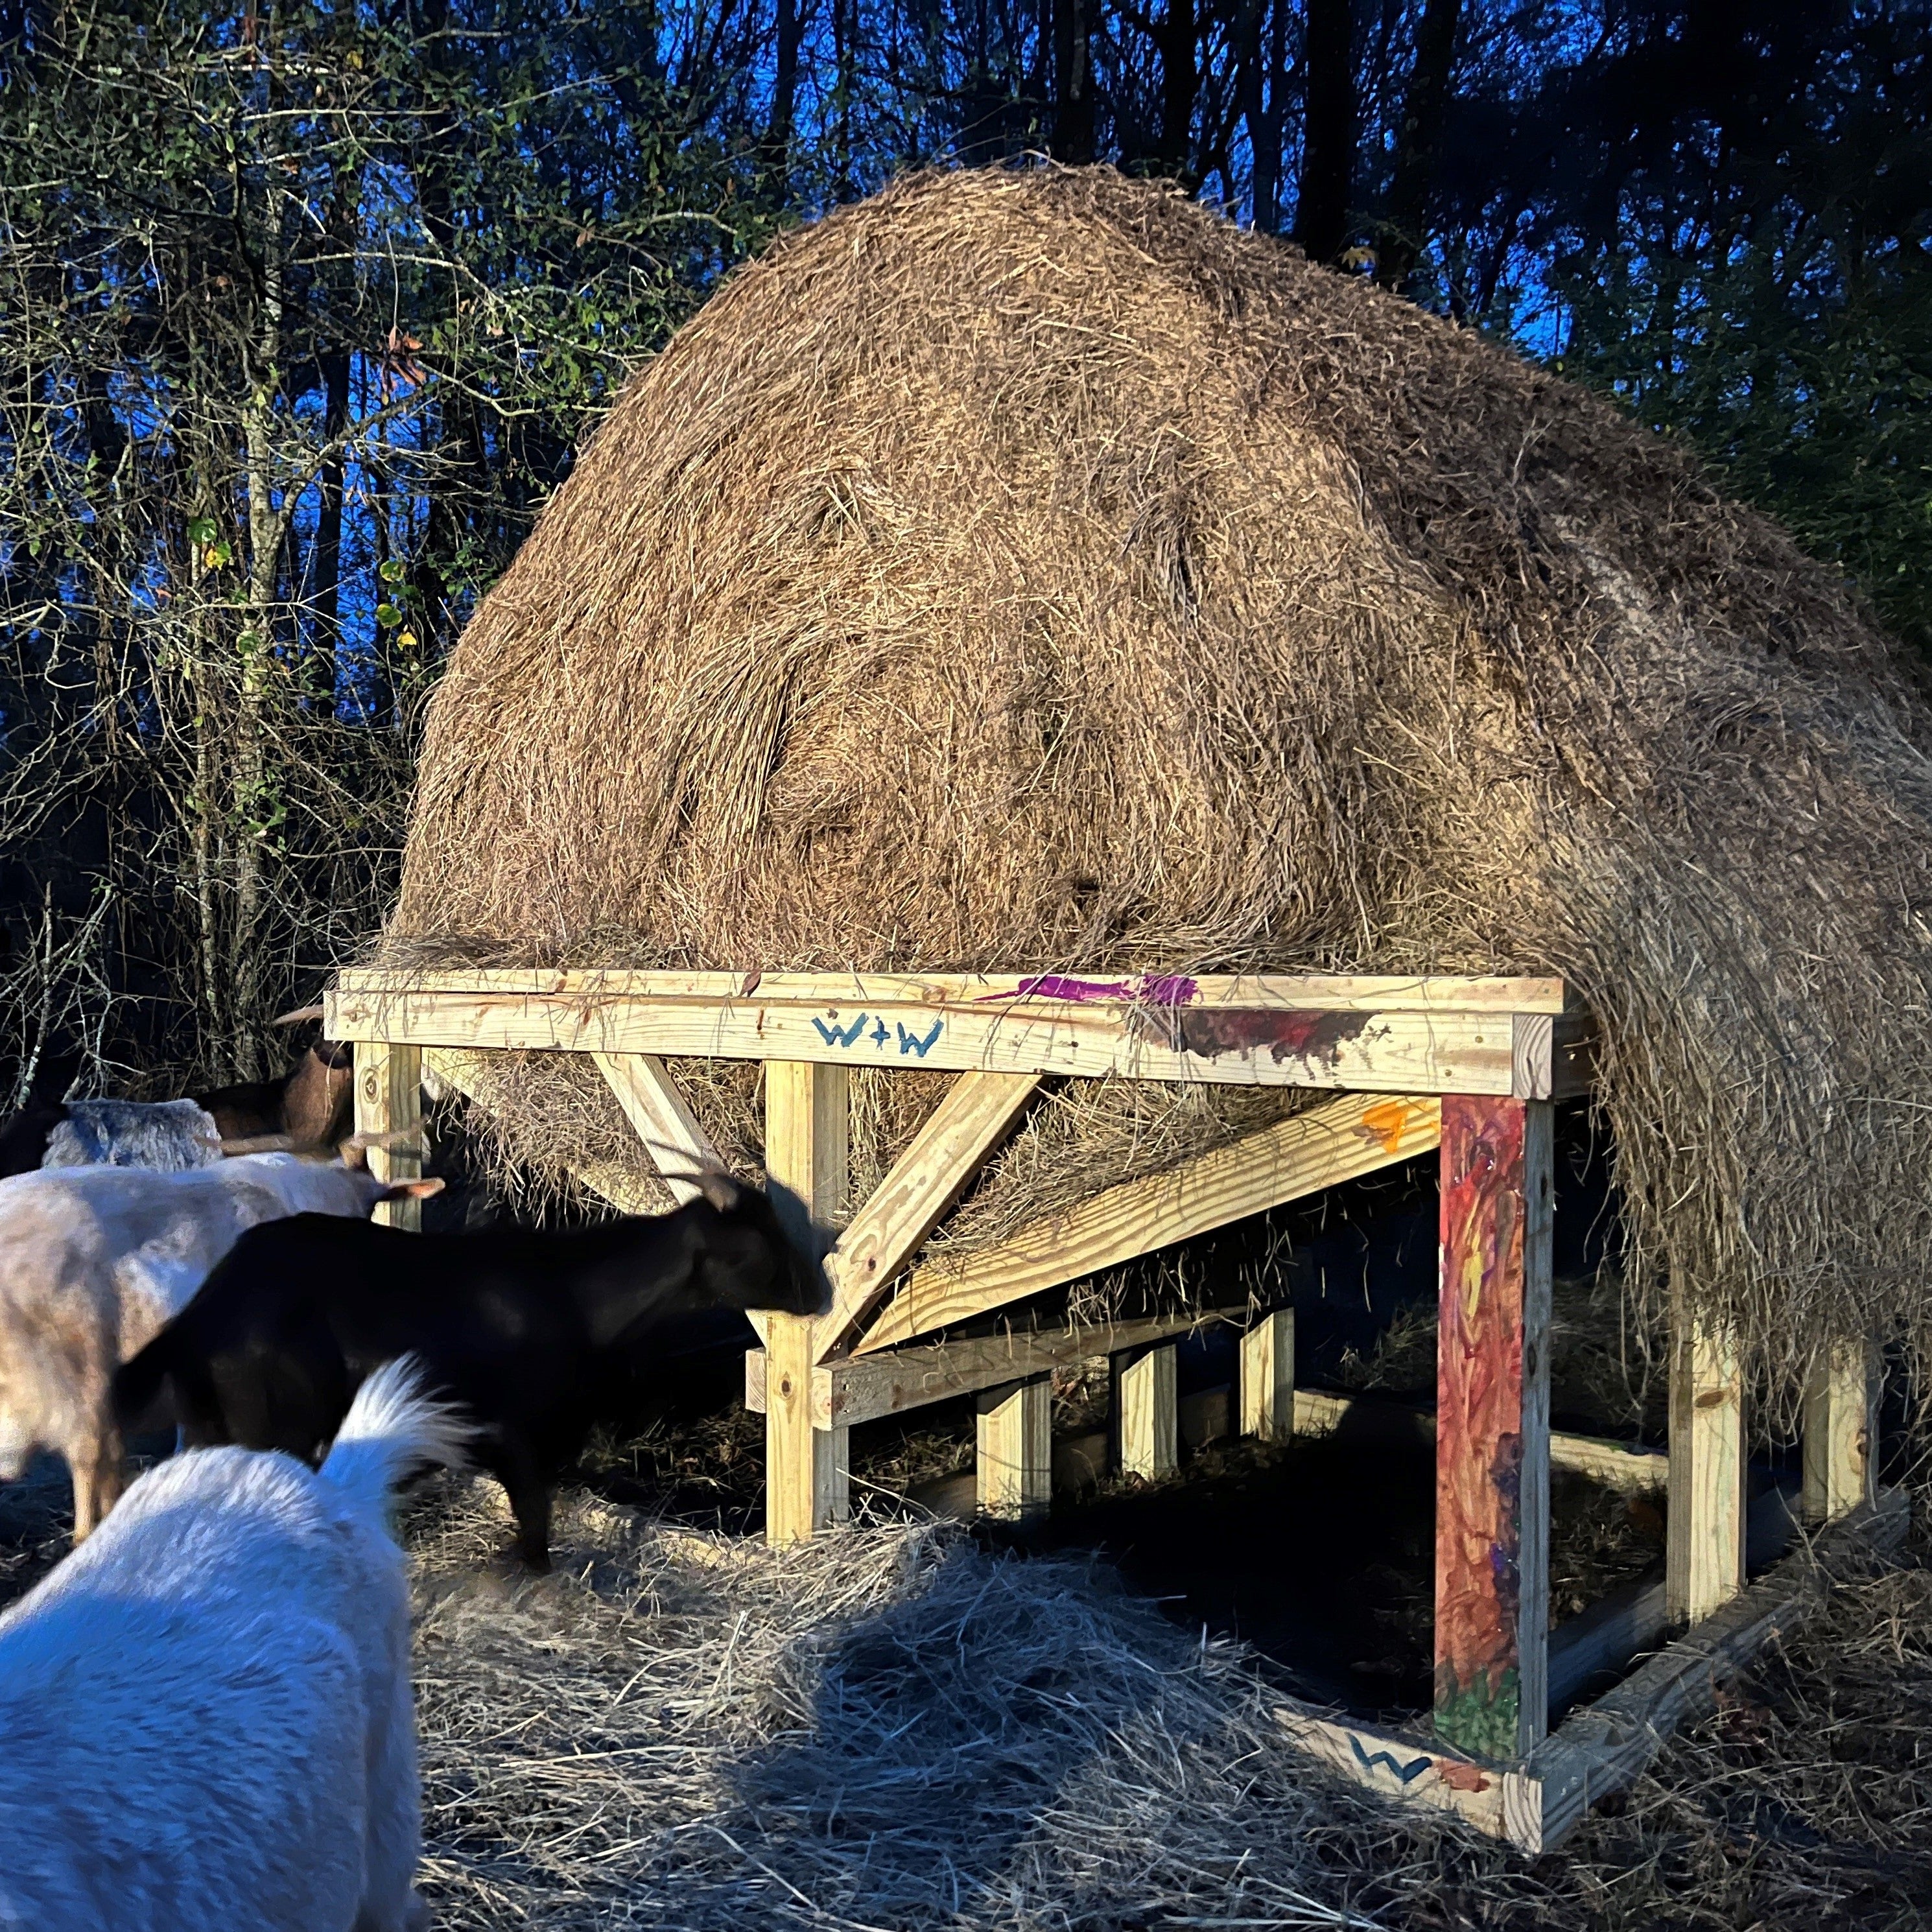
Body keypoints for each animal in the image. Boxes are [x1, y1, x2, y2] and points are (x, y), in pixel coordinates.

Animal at [113, 1166, 823, 1561]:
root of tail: (204, 1313)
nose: (817, 1294)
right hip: (270, 1431)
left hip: (209, 1430)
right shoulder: (513, 1436)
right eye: (753, 1246)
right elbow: (533, 1532)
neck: (569, 1293)